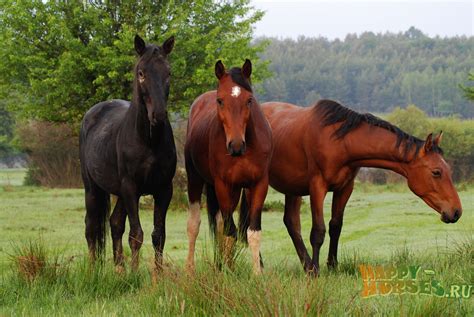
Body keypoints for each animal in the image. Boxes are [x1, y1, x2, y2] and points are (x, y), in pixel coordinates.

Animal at [79, 35, 176, 272]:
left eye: (168, 72)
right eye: (141, 73)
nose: (158, 115)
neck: (149, 141)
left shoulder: (164, 189)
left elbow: (158, 235)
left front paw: (157, 275)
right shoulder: (131, 187)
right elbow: (136, 234)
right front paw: (135, 274)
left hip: (119, 192)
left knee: (114, 223)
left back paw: (119, 269)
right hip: (92, 188)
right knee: (91, 226)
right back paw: (93, 270)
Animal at [185, 60, 274, 272]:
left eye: (249, 100)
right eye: (220, 101)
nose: (236, 145)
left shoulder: (258, 185)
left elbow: (252, 232)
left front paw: (257, 273)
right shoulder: (223, 186)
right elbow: (230, 232)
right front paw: (228, 273)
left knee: (219, 226)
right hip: (195, 180)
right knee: (195, 224)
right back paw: (191, 269)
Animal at [244, 99, 462, 274]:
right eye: (436, 172)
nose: (456, 212)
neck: (339, 141)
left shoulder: (345, 188)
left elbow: (336, 226)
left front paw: (332, 266)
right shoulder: (317, 187)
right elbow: (318, 231)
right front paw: (317, 271)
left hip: (292, 188)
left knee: (291, 222)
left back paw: (305, 265)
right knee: (251, 222)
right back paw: (264, 265)